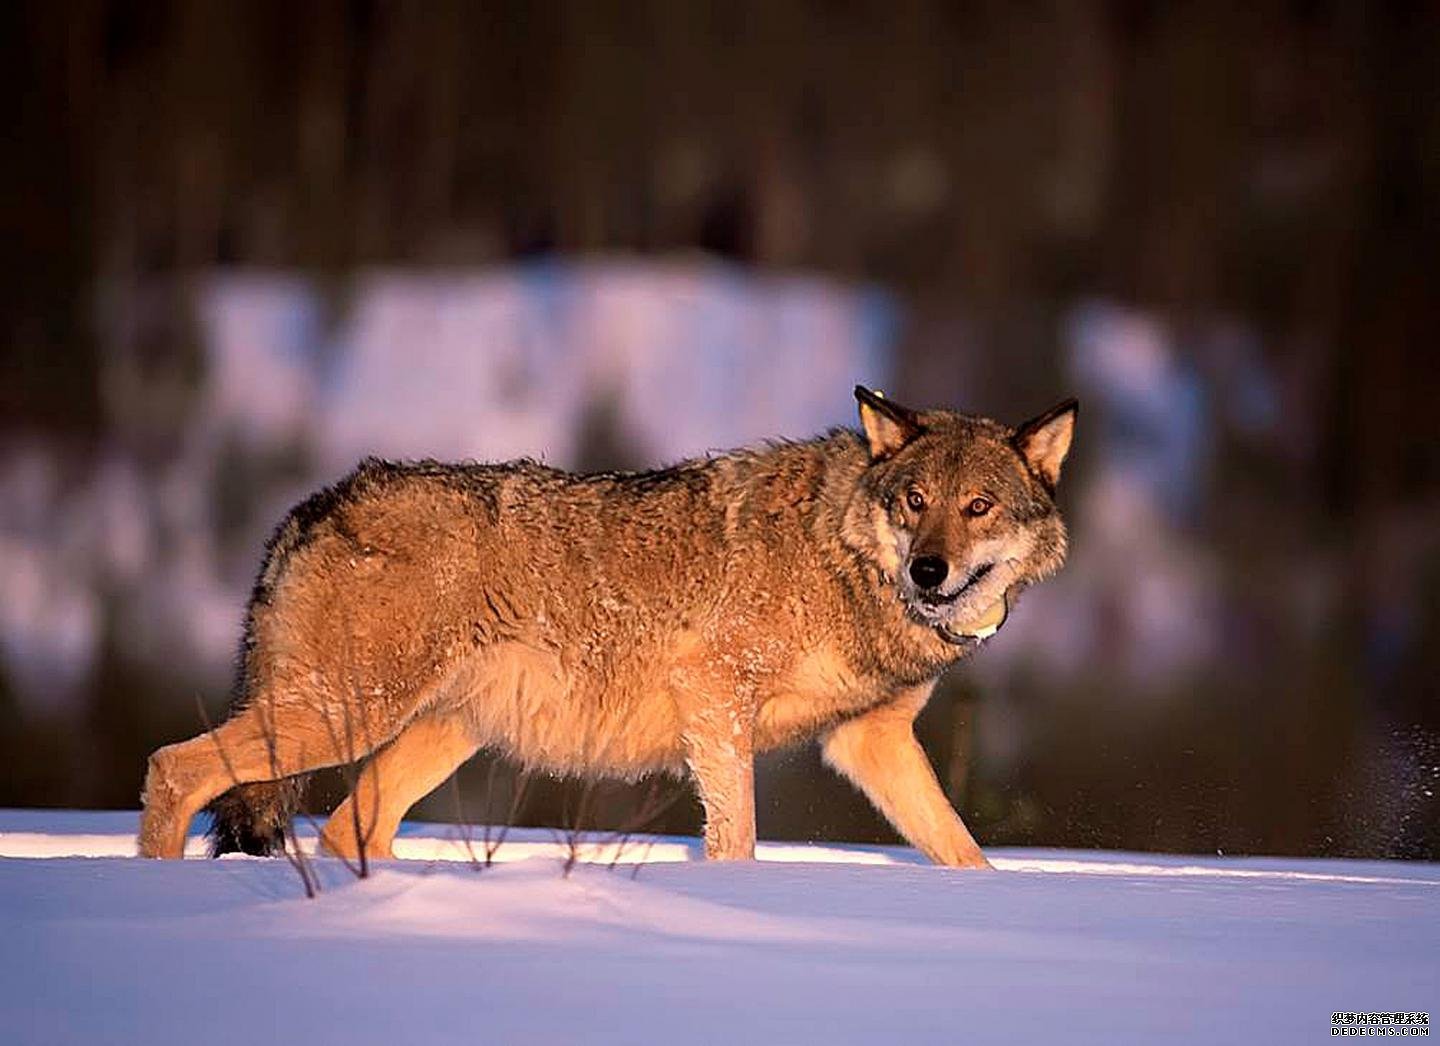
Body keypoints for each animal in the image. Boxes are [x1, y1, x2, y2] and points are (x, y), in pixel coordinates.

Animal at [137, 386, 1082, 870]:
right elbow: (735, 839)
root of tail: (316, 504)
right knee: (174, 769)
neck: (841, 560)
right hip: (340, 718)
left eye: (978, 506)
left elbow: (963, 850)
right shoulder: (717, 702)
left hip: (436, 735)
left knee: (344, 829)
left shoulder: (869, 741)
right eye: (915, 501)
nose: (930, 571)